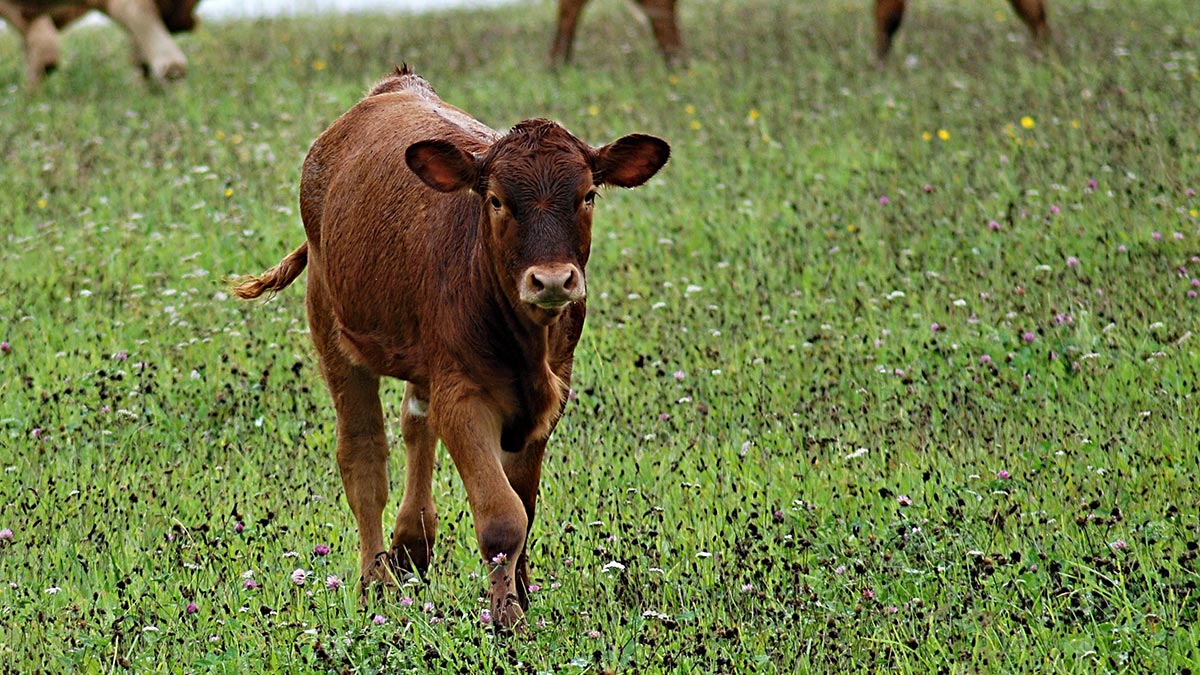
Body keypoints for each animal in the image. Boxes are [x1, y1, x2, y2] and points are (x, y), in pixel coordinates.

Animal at [231, 65, 667, 629]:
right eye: (497, 200)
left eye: (588, 195)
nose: (552, 280)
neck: (525, 345)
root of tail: (395, 86)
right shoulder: (463, 396)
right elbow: (502, 516)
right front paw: (507, 617)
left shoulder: (550, 396)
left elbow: (524, 503)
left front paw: (521, 592)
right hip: (331, 325)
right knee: (363, 455)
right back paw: (378, 582)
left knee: (416, 422)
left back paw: (411, 545)